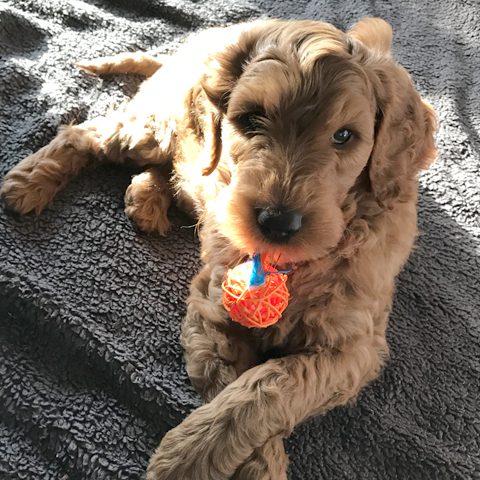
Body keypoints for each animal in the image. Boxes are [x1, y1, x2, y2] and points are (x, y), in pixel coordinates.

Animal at [1, 17, 437, 479]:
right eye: (250, 119)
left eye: (344, 136)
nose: (277, 222)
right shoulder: (213, 312)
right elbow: (242, 389)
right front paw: (198, 457)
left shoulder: (353, 345)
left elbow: (271, 386)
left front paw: (196, 455)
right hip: (157, 125)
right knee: (89, 132)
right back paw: (29, 182)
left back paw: (147, 200)